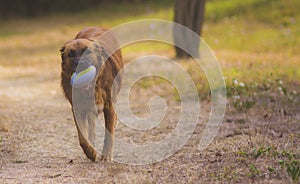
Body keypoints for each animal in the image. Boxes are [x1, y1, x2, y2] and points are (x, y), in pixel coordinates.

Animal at [59, 27, 123, 161]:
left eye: (87, 51)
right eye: (71, 54)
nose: (81, 63)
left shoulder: (109, 106)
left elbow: (109, 134)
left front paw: (106, 155)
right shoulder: (77, 109)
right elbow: (82, 139)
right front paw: (91, 152)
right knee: (91, 124)